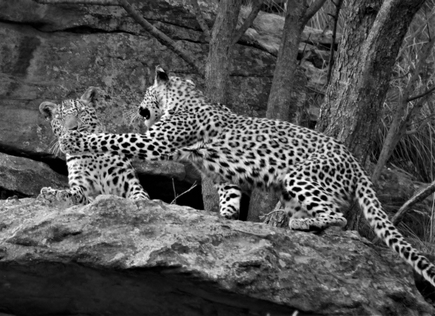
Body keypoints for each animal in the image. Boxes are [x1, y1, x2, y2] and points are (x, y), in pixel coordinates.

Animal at [58, 65, 435, 286]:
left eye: (147, 93)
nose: (140, 108)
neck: (186, 98)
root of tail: (356, 163)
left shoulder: (157, 141)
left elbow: (114, 139)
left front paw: (76, 140)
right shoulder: (223, 171)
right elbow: (229, 195)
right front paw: (226, 219)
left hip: (300, 177)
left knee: (337, 217)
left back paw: (298, 224)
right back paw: (279, 221)